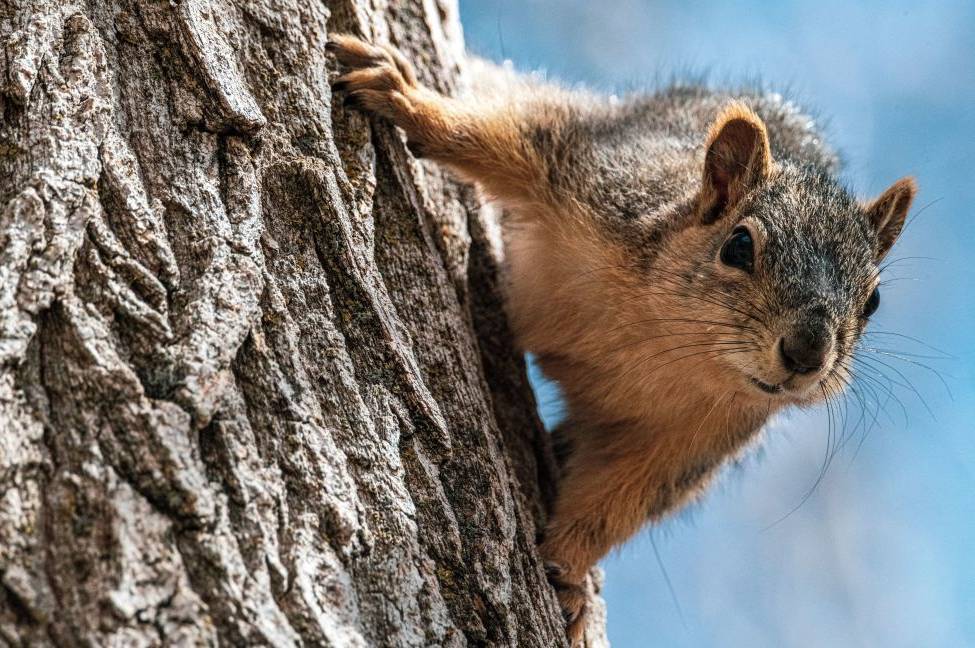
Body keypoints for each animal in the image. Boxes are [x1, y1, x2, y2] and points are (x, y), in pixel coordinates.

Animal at [328, 34, 916, 644]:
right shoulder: (599, 173)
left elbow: (616, 505)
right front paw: (405, 97)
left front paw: (567, 575)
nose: (806, 354)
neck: (662, 339)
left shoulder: (692, 442)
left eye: (873, 300)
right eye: (738, 246)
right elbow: (501, 137)